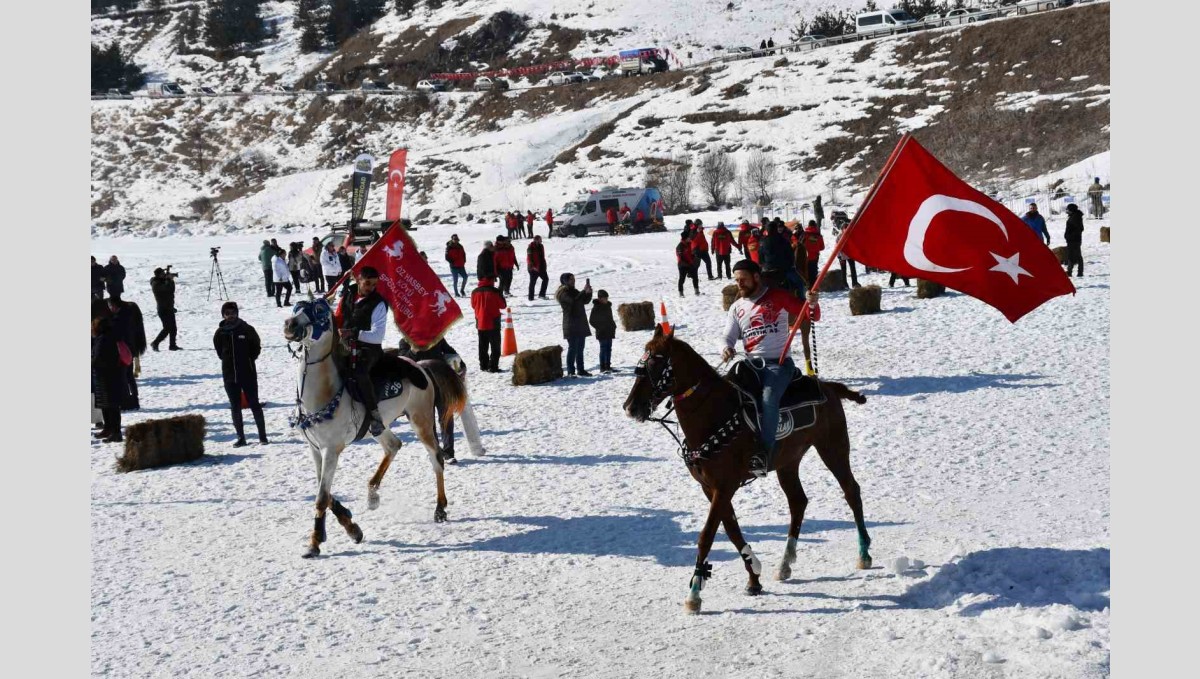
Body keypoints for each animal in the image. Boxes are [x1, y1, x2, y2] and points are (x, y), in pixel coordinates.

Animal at [283, 299, 465, 559]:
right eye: (297, 307)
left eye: (319, 311)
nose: (290, 324)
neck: (322, 394)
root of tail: (419, 365)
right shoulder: (315, 448)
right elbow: (325, 491)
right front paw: (352, 528)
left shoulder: (331, 450)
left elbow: (321, 497)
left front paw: (315, 542)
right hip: (377, 428)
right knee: (394, 445)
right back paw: (372, 494)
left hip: (421, 420)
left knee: (436, 459)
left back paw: (440, 509)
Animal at [624, 326, 868, 619]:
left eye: (656, 362)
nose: (631, 406)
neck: (712, 415)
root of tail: (829, 387)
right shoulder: (711, 488)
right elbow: (732, 530)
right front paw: (754, 577)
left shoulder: (724, 486)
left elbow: (707, 536)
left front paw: (694, 595)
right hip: (788, 463)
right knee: (798, 502)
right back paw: (785, 564)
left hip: (833, 447)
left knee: (851, 491)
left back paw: (864, 554)